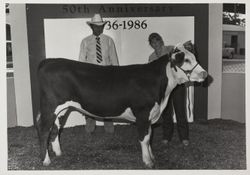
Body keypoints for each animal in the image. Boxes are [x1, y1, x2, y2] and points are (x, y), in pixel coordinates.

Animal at [35, 42, 207, 168]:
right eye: (186, 60)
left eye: (195, 57)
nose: (205, 74)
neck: (162, 93)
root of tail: (49, 61)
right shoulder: (143, 113)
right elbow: (144, 138)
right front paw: (148, 161)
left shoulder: (151, 114)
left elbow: (149, 136)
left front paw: (152, 157)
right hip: (50, 107)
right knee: (44, 131)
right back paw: (46, 160)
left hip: (61, 109)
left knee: (55, 128)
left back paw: (59, 153)